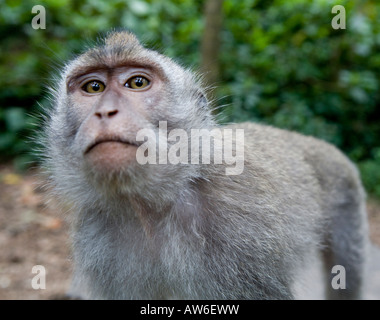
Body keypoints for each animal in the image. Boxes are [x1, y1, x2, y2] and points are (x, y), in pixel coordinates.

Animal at [40, 31, 368, 298]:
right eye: (94, 87)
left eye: (137, 83)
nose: (105, 112)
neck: (155, 204)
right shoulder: (97, 236)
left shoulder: (243, 229)